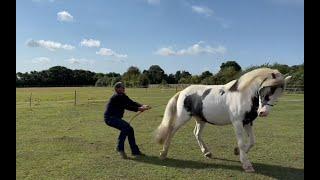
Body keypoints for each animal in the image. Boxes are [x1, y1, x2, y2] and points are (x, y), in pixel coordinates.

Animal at [155, 68, 292, 172]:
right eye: (267, 90)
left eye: (279, 94)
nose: (263, 112)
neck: (243, 95)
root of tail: (183, 91)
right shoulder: (237, 123)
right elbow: (241, 142)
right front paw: (246, 164)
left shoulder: (248, 122)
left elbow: (252, 141)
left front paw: (237, 152)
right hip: (183, 117)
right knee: (171, 131)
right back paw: (164, 153)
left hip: (201, 119)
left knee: (196, 133)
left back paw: (207, 153)